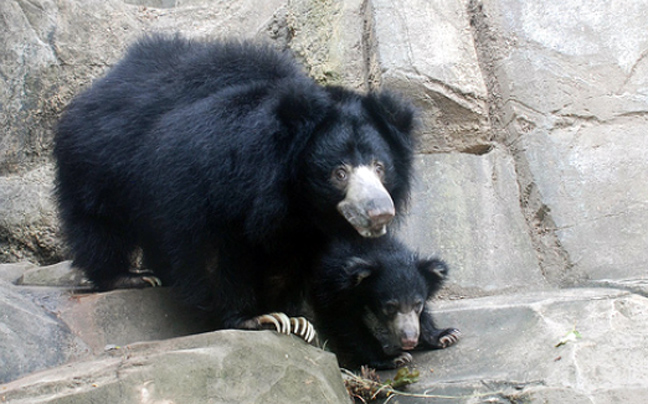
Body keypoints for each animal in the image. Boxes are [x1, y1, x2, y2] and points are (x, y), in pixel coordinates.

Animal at [54, 34, 416, 338]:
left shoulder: (299, 225)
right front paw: (254, 317)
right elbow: (211, 252)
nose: (380, 212)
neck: (294, 197)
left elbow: (288, 258)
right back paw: (128, 276)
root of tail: (104, 82)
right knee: (98, 222)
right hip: (98, 162)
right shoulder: (204, 174)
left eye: (380, 167)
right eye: (339, 173)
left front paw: (293, 317)